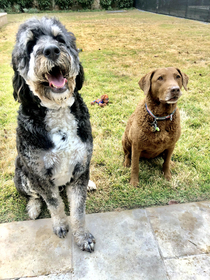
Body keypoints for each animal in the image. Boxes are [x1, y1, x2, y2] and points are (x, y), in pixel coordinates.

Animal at [11, 17, 95, 254]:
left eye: (60, 39)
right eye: (30, 45)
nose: (51, 50)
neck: (57, 109)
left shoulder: (80, 167)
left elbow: (78, 210)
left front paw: (82, 236)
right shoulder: (39, 174)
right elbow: (54, 203)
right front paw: (60, 226)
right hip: (21, 174)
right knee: (33, 195)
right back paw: (33, 207)